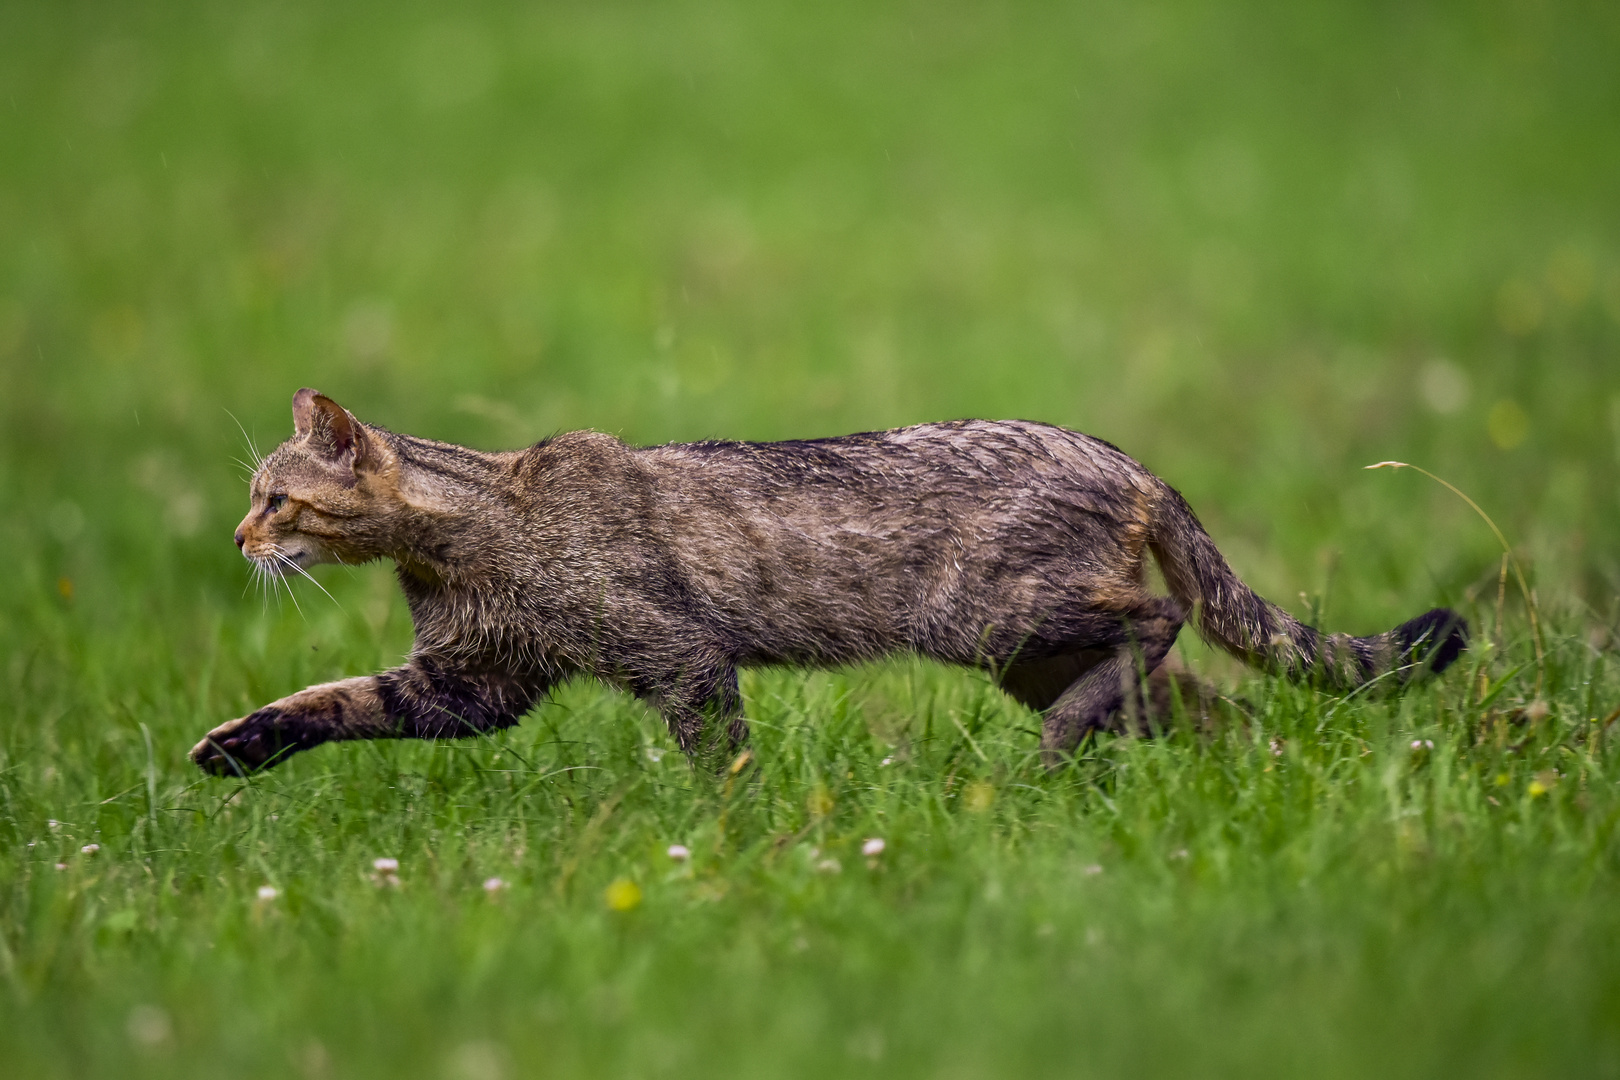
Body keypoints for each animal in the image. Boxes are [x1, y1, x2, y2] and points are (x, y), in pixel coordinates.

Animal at [189, 388, 1470, 777]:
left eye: (275, 497)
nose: (238, 539)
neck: (460, 543)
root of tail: (1131, 460)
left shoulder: (678, 655)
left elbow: (723, 765)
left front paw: (733, 847)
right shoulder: (469, 685)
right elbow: (334, 702)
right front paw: (239, 745)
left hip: (992, 617)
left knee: (1158, 624)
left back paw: (1065, 747)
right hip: (1026, 648)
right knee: (1211, 703)